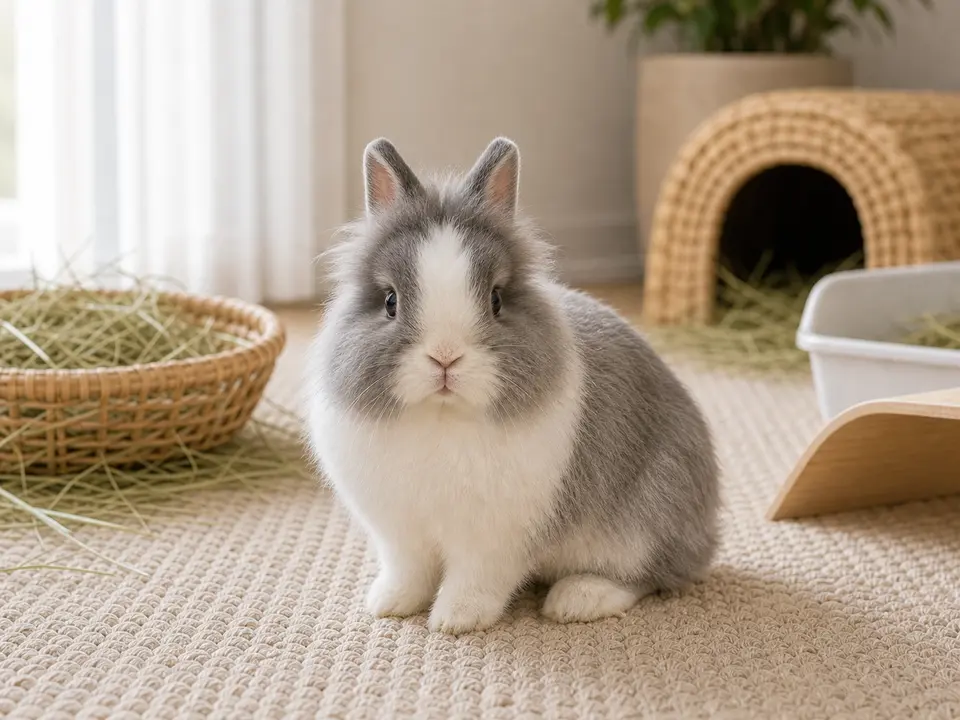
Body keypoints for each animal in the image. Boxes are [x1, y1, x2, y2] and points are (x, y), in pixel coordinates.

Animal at [305, 136, 719, 635]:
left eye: (496, 299)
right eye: (390, 301)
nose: (445, 357)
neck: (443, 414)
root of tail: (706, 529)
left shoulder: (495, 539)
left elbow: (475, 580)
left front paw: (455, 621)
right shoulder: (402, 531)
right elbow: (409, 571)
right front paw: (389, 604)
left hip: (644, 524)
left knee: (651, 577)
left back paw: (577, 600)